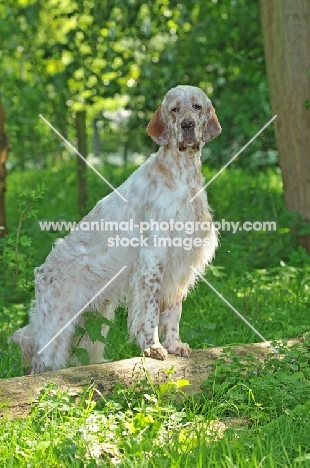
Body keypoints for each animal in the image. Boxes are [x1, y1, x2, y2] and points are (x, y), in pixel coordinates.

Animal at [10, 86, 222, 374]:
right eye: (174, 109)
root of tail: (42, 274)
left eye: (197, 107)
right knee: (41, 362)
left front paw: (175, 345)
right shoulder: (154, 257)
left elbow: (172, 312)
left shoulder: (180, 261)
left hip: (93, 324)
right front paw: (152, 346)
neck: (182, 175)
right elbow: (150, 311)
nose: (187, 125)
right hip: (58, 326)